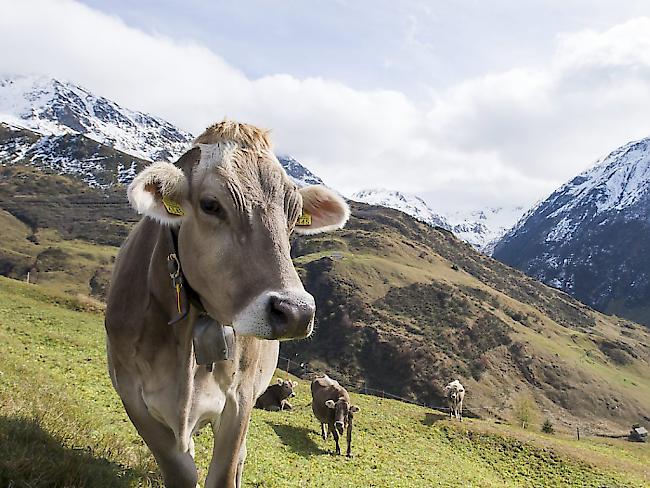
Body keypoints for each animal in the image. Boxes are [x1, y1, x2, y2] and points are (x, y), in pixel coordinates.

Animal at [105, 119, 350, 488]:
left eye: (293, 215)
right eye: (210, 205)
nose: (296, 312)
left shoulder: (240, 398)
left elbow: (224, 471)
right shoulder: (132, 395)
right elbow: (181, 470)